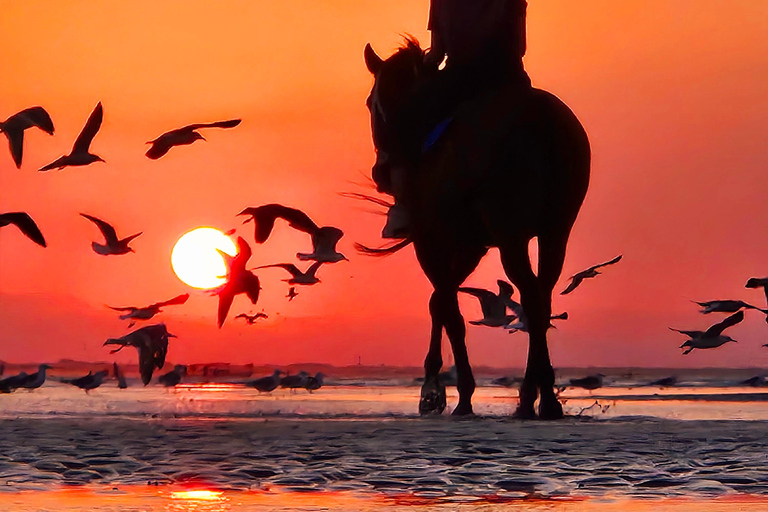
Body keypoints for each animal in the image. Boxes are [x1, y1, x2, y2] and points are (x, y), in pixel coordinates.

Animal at [364, 38, 592, 418]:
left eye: (371, 102)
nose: (380, 173)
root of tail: (543, 117)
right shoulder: (473, 245)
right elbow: (439, 302)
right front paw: (437, 389)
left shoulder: (431, 241)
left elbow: (448, 308)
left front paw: (450, 393)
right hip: (555, 232)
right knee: (542, 297)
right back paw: (540, 397)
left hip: (511, 234)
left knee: (531, 298)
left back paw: (534, 398)